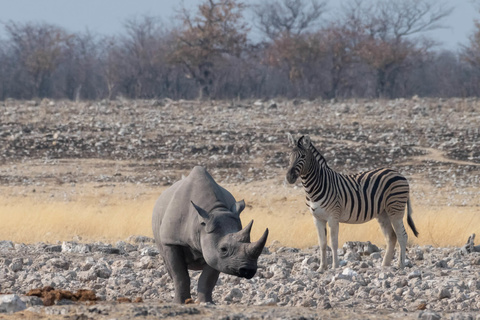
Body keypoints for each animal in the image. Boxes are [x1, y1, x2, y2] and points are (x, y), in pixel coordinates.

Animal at [286, 133, 418, 270]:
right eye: (289, 156)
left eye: (303, 156)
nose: (289, 177)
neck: (315, 187)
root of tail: (399, 174)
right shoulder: (317, 218)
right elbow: (322, 243)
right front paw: (321, 268)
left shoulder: (333, 216)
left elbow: (333, 242)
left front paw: (335, 266)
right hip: (383, 213)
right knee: (391, 237)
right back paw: (384, 265)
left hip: (395, 209)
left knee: (402, 236)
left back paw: (400, 265)